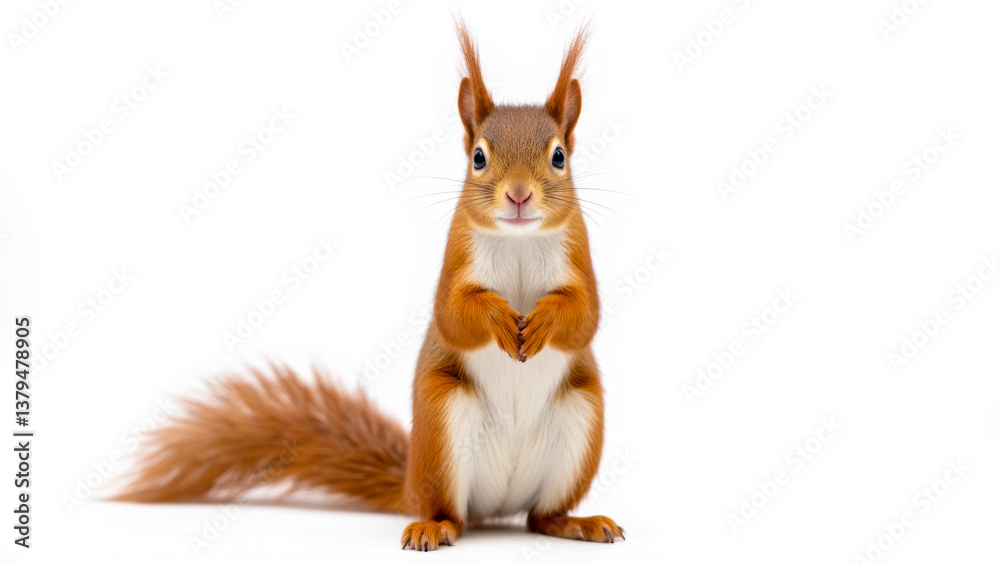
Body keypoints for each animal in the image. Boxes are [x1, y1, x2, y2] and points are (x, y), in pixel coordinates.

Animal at [114, 21, 624, 552]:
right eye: (479, 157)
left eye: (559, 156)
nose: (519, 195)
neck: (519, 240)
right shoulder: (456, 260)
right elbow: (454, 315)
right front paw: (500, 319)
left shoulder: (579, 257)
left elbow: (585, 315)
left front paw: (542, 321)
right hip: (442, 423)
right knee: (453, 513)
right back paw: (432, 526)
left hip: (582, 421)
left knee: (540, 516)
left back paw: (578, 523)